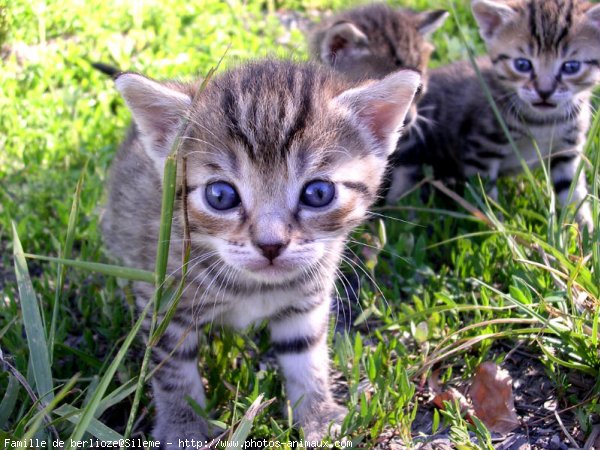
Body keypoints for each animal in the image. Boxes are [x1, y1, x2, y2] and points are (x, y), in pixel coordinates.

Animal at [102, 58, 422, 444]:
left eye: (318, 193)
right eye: (220, 195)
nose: (271, 244)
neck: (252, 286)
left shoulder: (306, 300)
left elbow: (306, 356)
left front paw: (318, 416)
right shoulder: (165, 304)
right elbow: (173, 370)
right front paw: (182, 427)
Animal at [386, 0, 596, 232]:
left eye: (571, 67)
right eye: (522, 65)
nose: (544, 92)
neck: (544, 122)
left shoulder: (567, 150)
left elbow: (573, 193)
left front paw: (584, 230)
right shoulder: (481, 151)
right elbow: (486, 197)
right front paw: (499, 229)